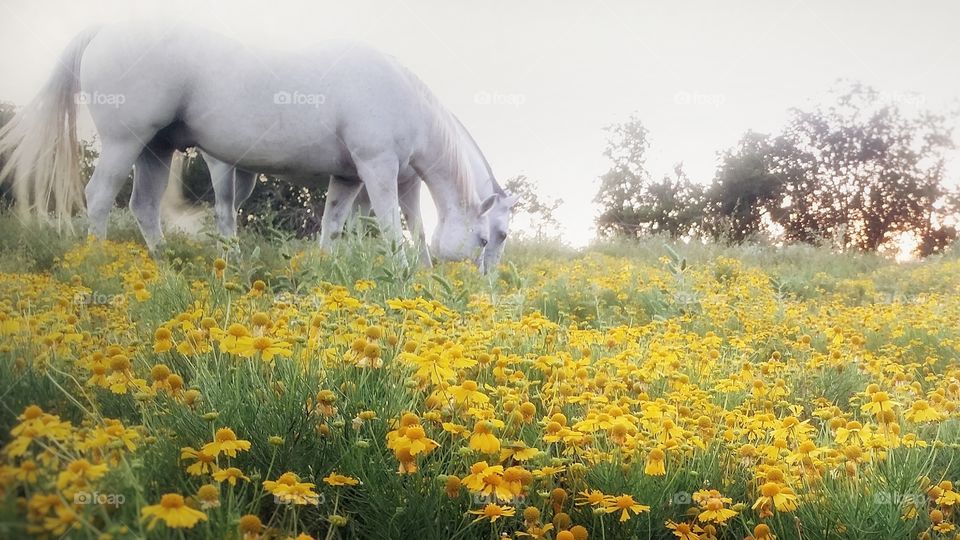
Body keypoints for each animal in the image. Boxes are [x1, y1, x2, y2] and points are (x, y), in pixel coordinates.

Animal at [0, 22, 516, 270]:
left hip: (155, 150)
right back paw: (98, 262)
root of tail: (104, 29)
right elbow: (392, 229)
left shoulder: (349, 177)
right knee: (100, 198)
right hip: (126, 142)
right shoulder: (378, 168)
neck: (403, 95)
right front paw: (404, 274)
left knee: (144, 206)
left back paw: (164, 266)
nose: (486, 285)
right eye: (492, 237)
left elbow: (332, 226)